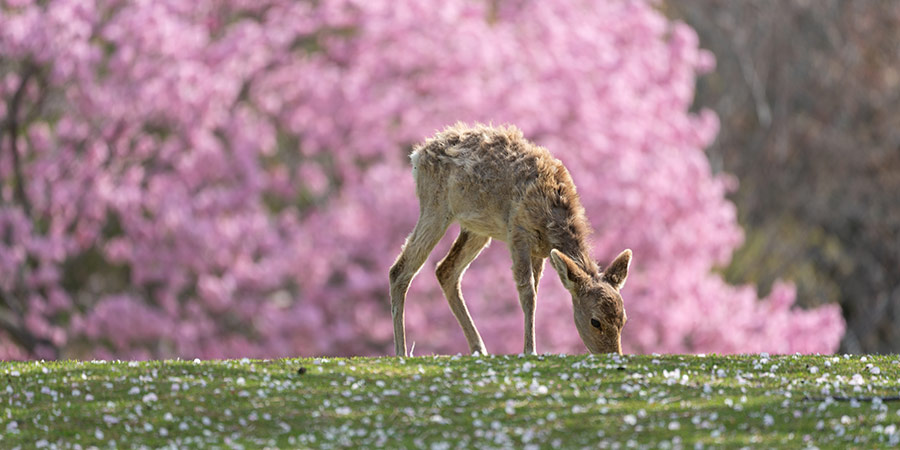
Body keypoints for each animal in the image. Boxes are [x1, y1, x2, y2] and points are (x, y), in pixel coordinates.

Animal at [389, 123, 632, 357]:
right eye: (595, 321)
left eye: (623, 319)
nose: (613, 353)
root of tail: (417, 155)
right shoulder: (518, 233)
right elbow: (527, 292)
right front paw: (530, 349)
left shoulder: (540, 250)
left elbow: (535, 293)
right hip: (435, 206)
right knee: (400, 269)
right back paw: (401, 351)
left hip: (477, 228)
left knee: (445, 269)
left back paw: (478, 348)